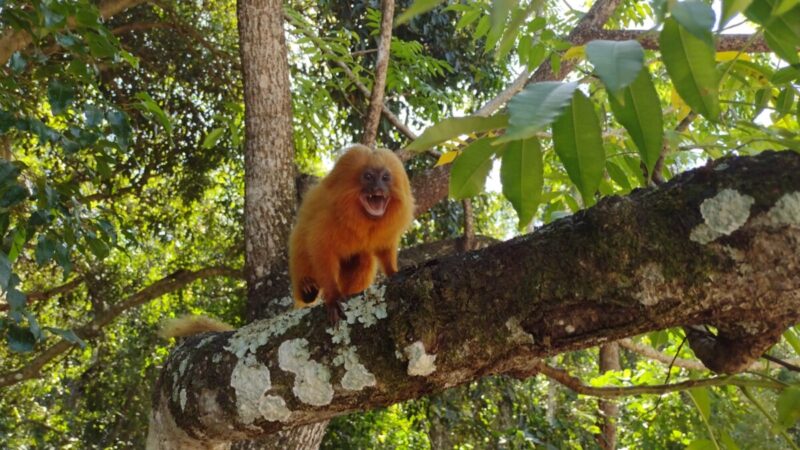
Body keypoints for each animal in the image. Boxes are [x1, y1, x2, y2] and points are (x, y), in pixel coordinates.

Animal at [290, 144, 416, 324]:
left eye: (385, 177)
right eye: (368, 177)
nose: (378, 187)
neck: (363, 218)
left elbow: (384, 248)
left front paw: (393, 271)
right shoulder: (327, 216)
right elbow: (321, 250)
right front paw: (333, 296)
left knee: (364, 258)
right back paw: (307, 289)